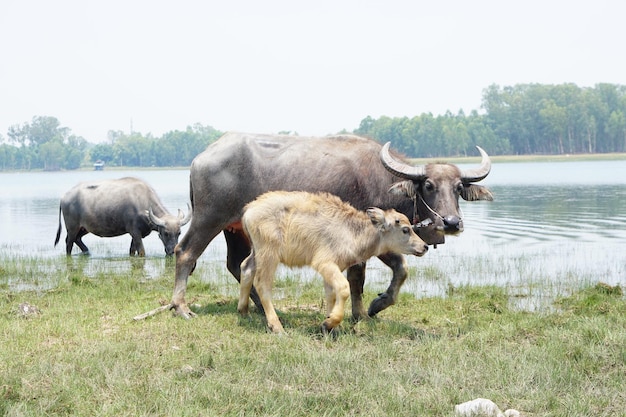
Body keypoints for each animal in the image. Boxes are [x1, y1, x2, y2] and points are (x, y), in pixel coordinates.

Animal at [56, 176, 193, 255]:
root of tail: (64, 197)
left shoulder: (136, 234)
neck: (142, 201)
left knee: (77, 239)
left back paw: (87, 252)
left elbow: (132, 252)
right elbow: (142, 252)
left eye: (179, 233)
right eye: (165, 233)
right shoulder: (135, 232)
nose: (172, 251)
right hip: (72, 227)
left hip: (84, 228)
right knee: (69, 242)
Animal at [168, 132, 490, 318]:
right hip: (209, 218)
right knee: (186, 253)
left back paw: (258, 307)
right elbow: (359, 278)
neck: (384, 181)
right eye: (429, 185)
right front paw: (360, 315)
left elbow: (400, 269)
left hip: (236, 229)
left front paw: (376, 305)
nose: (451, 222)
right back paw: (181, 307)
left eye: (458, 187)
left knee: (237, 264)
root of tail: (200, 158)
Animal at [236, 190, 426, 334]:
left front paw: (331, 326)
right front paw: (330, 322)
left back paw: (243, 312)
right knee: (262, 284)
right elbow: (343, 289)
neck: (352, 231)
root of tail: (250, 208)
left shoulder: (333, 269)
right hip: (269, 255)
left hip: (257, 253)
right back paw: (276, 326)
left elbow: (331, 294)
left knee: (246, 268)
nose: (424, 246)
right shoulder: (324, 264)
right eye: (405, 229)